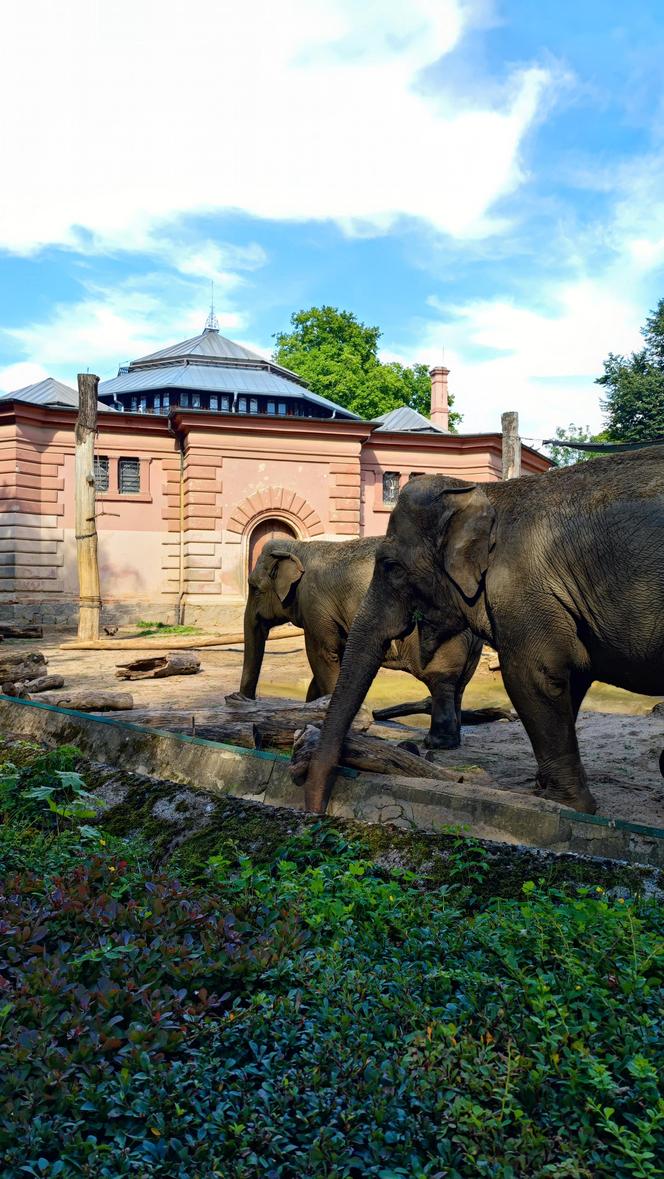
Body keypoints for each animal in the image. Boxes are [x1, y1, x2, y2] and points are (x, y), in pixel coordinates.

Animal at [233, 535, 483, 745]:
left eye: (254, 588)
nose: (240, 699)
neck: (300, 547)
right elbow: (335, 658)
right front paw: (310, 710)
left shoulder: (315, 606)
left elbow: (322, 656)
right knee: (459, 685)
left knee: (440, 681)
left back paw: (436, 743)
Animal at [299, 445, 664, 815]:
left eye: (392, 567)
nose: (313, 810)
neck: (484, 493)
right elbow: (571, 676)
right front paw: (544, 789)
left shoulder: (520, 585)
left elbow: (535, 676)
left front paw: (561, 804)